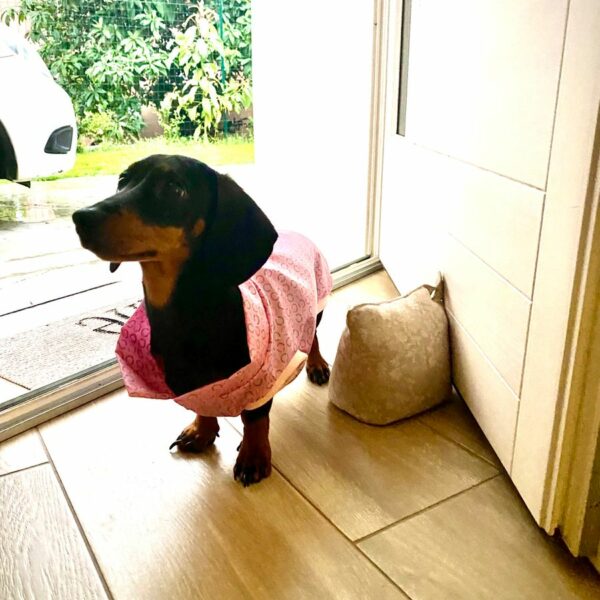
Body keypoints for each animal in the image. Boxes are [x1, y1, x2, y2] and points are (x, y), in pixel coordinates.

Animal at [72, 154, 332, 486]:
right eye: (122, 180)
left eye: (174, 188)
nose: (81, 217)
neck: (186, 316)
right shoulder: (192, 386)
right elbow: (202, 403)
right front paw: (202, 431)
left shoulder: (260, 379)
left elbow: (255, 418)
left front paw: (254, 454)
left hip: (316, 305)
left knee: (312, 336)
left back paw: (316, 364)